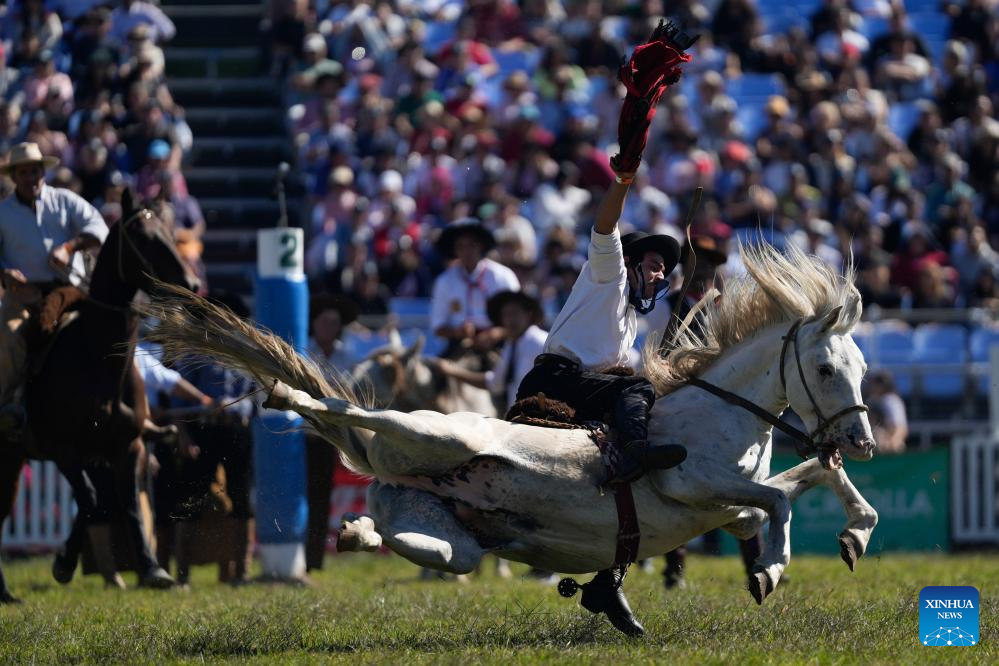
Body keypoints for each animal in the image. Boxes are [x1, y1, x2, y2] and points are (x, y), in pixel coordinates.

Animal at [0, 190, 200, 603]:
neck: (96, 359)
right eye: (142, 237)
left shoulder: (127, 448)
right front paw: (63, 563)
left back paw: (6, 594)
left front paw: (153, 569)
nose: (190, 284)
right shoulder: (63, 450)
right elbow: (92, 501)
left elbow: (125, 505)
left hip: (12, 460)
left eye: (171, 232)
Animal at [143, 242, 878, 632]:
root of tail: (397, 476)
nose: (864, 440)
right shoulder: (693, 481)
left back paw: (354, 532)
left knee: (411, 541)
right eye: (823, 368)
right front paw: (770, 569)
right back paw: (286, 395)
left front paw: (852, 534)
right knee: (350, 414)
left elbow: (809, 479)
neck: (719, 409)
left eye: (862, 368)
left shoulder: (730, 503)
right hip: (426, 433)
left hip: (449, 536)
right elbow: (777, 501)